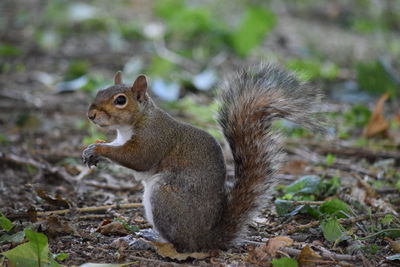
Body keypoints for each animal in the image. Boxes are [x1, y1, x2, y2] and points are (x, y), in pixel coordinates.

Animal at [83, 64, 324, 253]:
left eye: (120, 100)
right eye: (100, 90)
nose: (91, 115)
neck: (135, 121)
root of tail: (206, 239)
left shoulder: (154, 139)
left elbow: (137, 158)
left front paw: (99, 149)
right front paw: (93, 147)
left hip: (164, 198)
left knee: (181, 245)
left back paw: (151, 242)